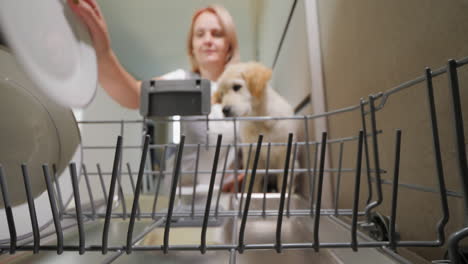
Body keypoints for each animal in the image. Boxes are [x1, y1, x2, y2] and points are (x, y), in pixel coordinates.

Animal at [214, 62, 298, 193]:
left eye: (237, 87)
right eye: (221, 94)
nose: (225, 110)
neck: (261, 120)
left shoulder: (285, 152)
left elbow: (283, 180)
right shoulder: (252, 155)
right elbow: (253, 182)